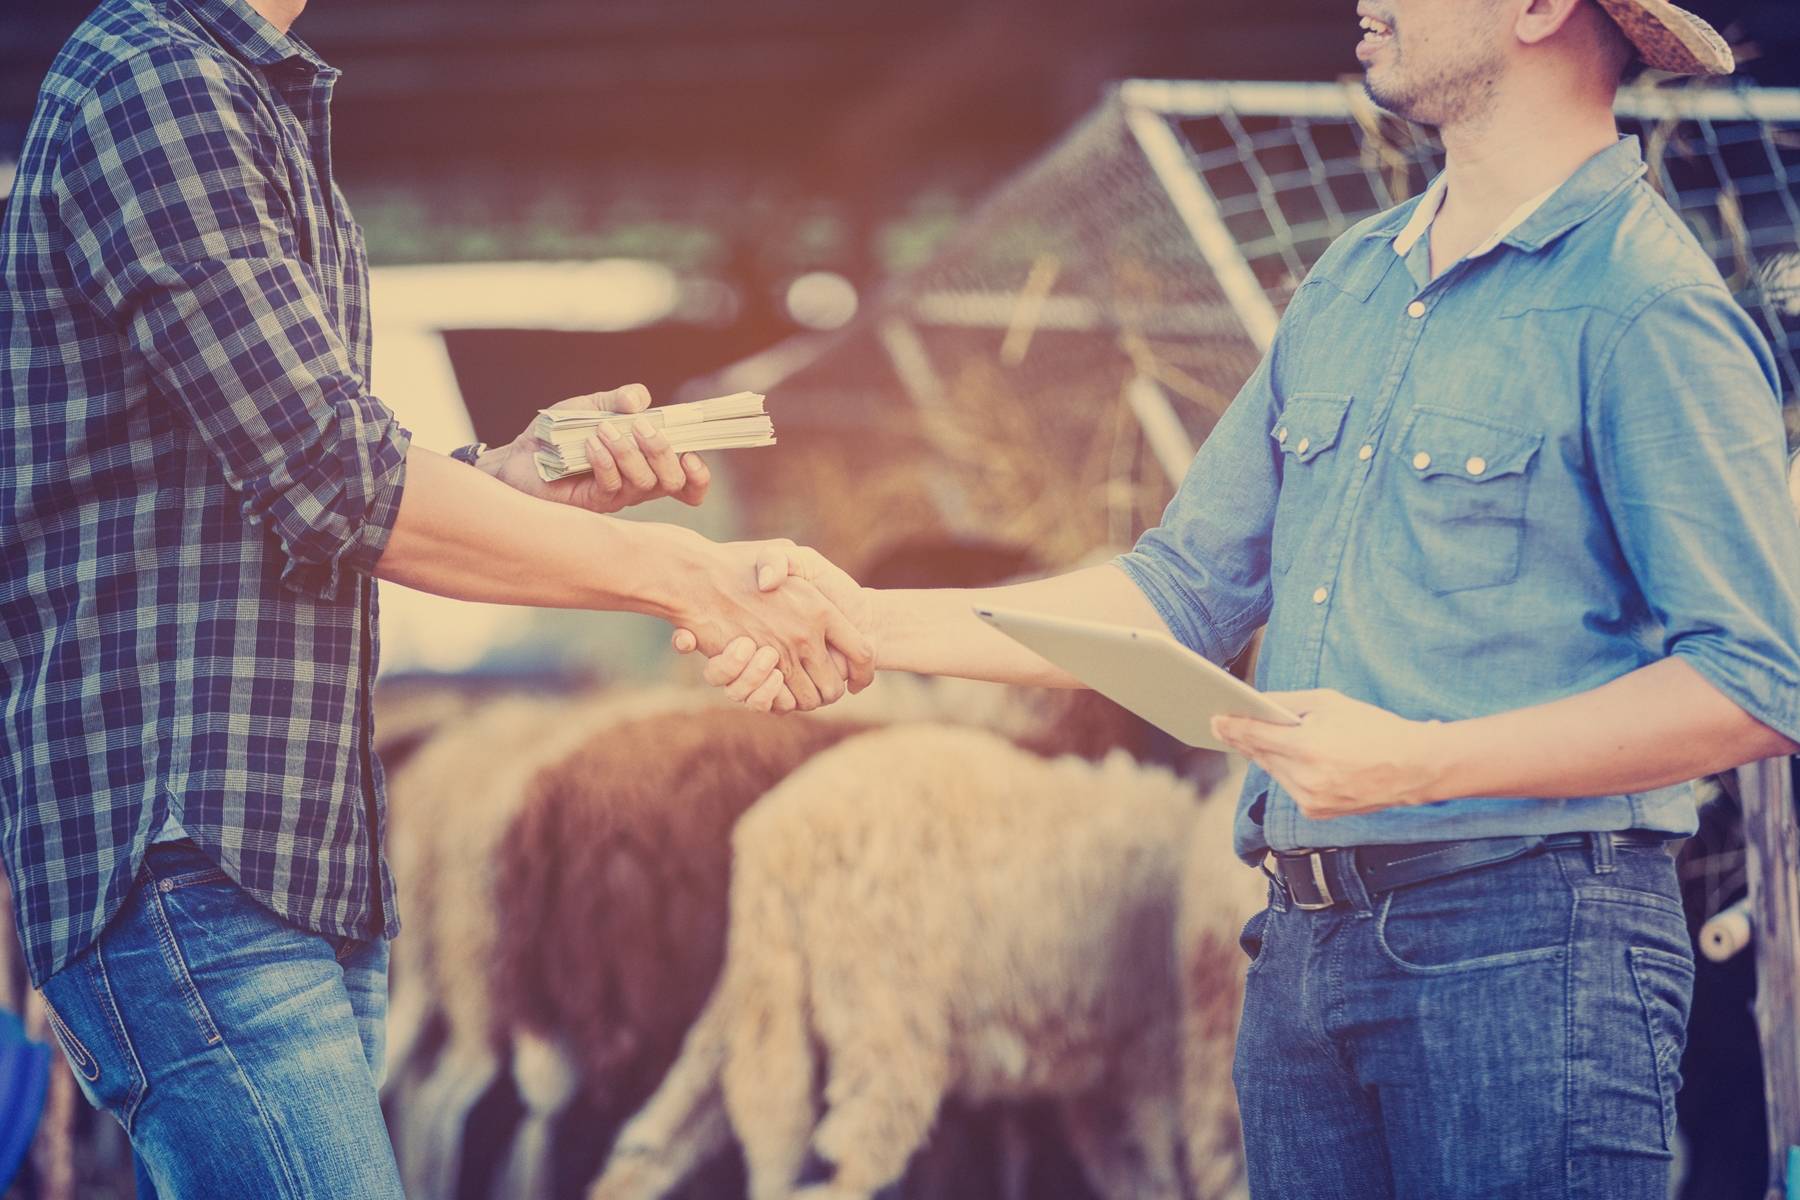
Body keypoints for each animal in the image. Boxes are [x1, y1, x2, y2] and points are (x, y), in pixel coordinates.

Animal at [583, 723, 1260, 1200]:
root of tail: (777, 846)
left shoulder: (1108, 1077)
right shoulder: (1157, 1061)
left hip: (755, 1001)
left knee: (665, 1140)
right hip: (883, 1014)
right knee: (850, 1160)